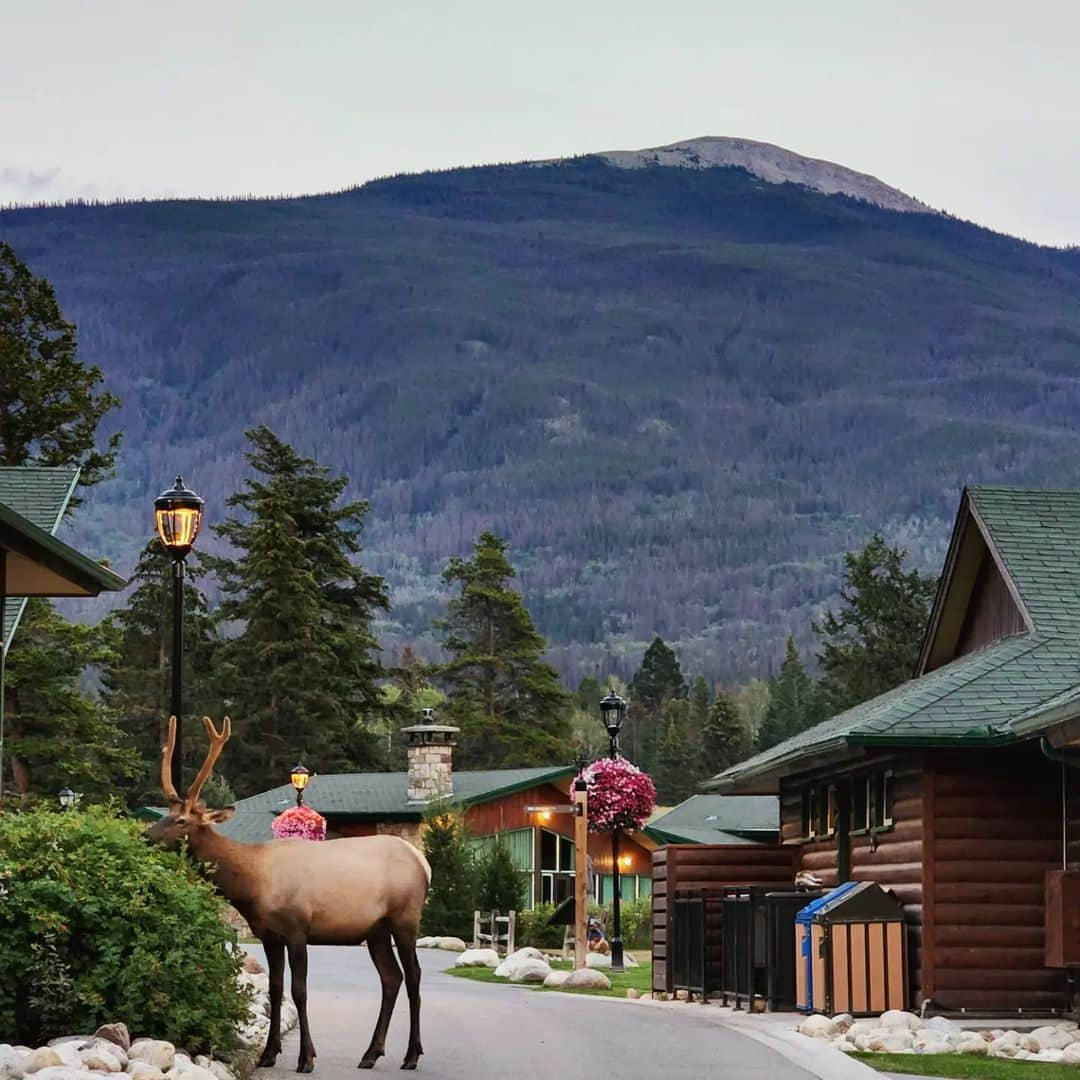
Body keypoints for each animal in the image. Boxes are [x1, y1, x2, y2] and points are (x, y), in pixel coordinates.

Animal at [145, 717, 432, 1071]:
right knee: (391, 978)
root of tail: (423, 863)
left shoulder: (297, 928)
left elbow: (300, 991)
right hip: (376, 930)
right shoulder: (269, 935)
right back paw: (370, 1053)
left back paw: (411, 1055)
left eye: (182, 820)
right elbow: (275, 988)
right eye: (168, 815)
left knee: (414, 975)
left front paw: (306, 1057)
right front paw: (268, 1054)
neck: (252, 885)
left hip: (406, 917)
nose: (145, 836)